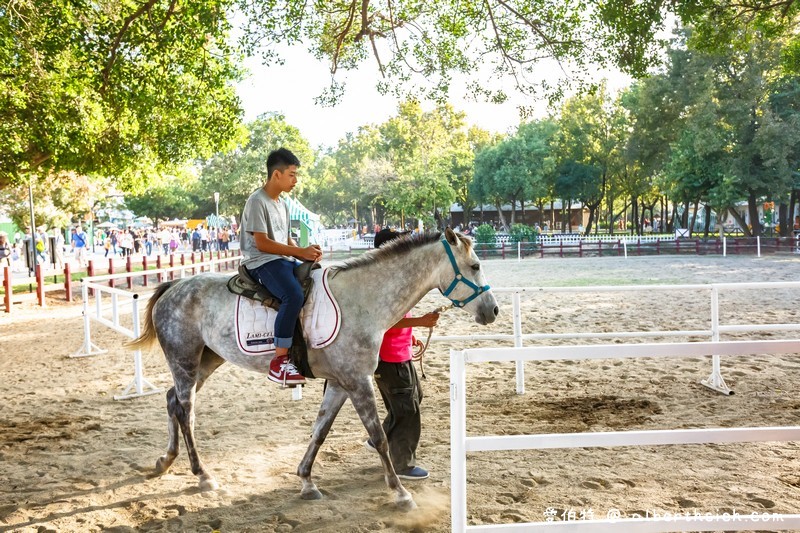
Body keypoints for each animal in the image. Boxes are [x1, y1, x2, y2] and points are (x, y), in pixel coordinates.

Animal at [128, 229, 496, 508]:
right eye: (475, 265)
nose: (492, 310)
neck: (362, 300)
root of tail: (174, 287)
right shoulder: (358, 382)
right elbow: (378, 437)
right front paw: (400, 493)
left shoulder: (340, 383)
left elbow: (320, 431)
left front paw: (306, 481)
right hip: (185, 361)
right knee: (185, 410)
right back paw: (201, 474)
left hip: (206, 361)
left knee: (172, 401)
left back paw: (166, 460)